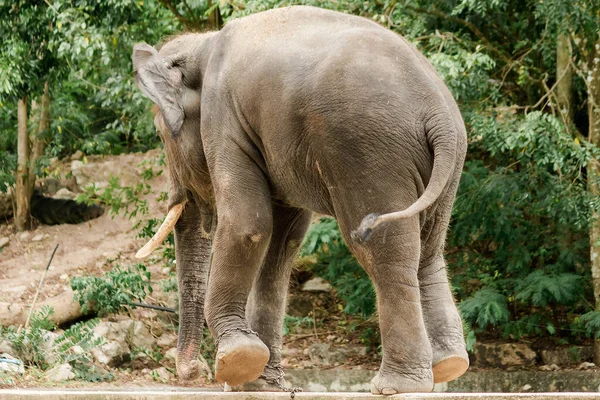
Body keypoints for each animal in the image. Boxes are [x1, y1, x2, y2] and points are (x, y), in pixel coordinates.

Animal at [134, 5, 472, 394]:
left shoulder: (224, 117)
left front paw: (237, 361)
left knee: (385, 251)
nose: (193, 373)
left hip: (369, 154)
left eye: (161, 134)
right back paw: (448, 365)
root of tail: (438, 114)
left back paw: (395, 385)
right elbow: (284, 240)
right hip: (444, 166)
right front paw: (260, 384)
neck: (203, 44)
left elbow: (248, 223)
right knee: (429, 250)